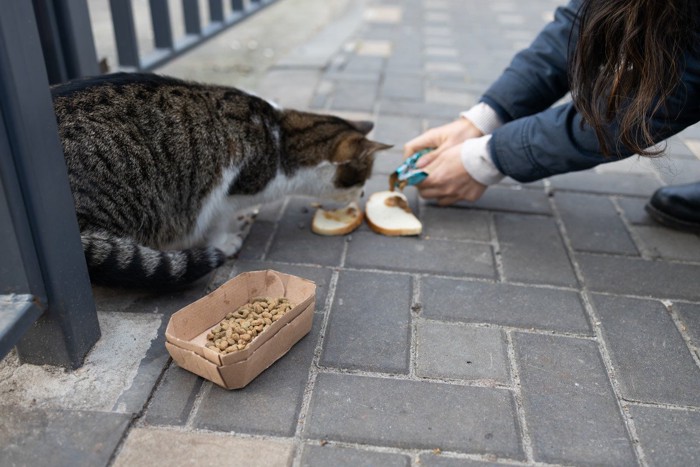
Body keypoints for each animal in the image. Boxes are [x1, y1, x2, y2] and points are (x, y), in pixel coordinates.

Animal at [52, 73, 392, 288]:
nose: (363, 194)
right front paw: (226, 240)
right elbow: (220, 219)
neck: (282, 140)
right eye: (362, 178)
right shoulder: (225, 190)